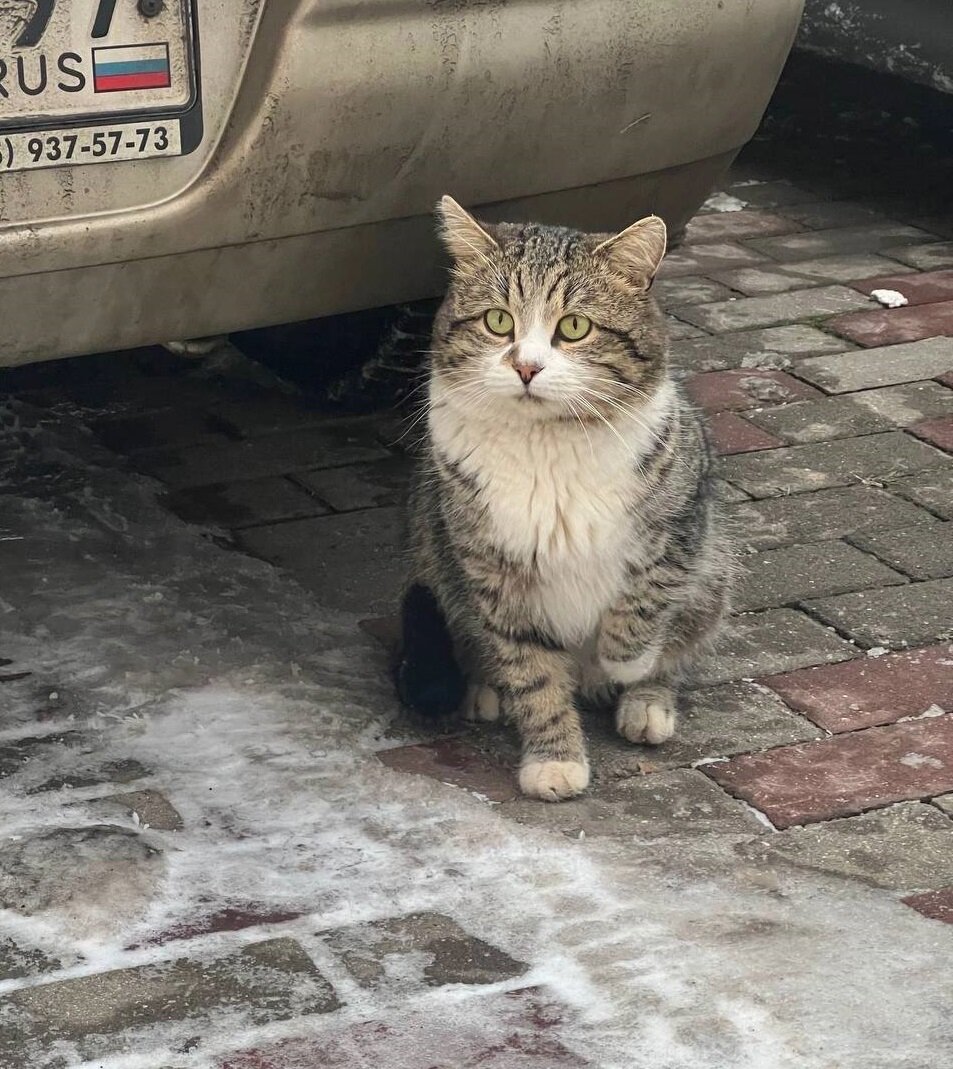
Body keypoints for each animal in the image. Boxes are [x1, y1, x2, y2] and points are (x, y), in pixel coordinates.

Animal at [397, 198, 735, 803]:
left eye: (574, 327)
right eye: (498, 321)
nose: (526, 367)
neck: (547, 445)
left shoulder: (681, 524)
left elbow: (646, 600)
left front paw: (624, 662)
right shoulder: (493, 569)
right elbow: (533, 674)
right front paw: (554, 760)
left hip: (714, 574)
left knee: (682, 642)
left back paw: (644, 702)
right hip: (435, 558)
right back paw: (485, 689)